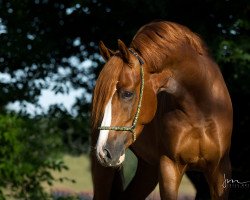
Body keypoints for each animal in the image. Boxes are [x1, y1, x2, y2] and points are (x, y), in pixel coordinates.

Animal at [91, 21, 232, 199]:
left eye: (127, 93)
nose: (104, 152)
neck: (201, 110)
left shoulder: (220, 170)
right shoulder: (169, 167)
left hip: (148, 169)